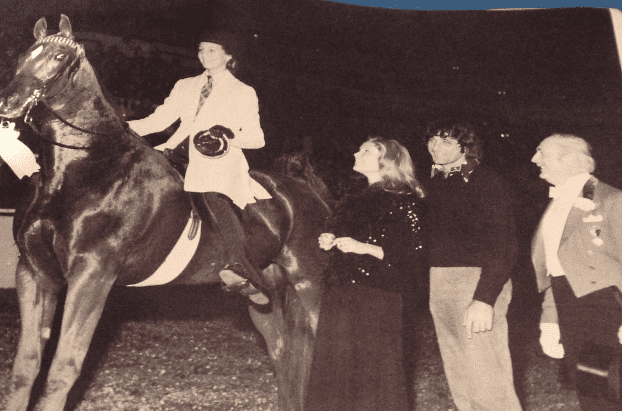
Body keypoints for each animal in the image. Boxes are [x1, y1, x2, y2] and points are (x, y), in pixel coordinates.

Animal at [0, 14, 332, 410]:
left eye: (58, 56)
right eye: (23, 55)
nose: (9, 102)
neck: (83, 170)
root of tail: (304, 189)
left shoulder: (92, 274)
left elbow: (62, 371)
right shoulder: (35, 274)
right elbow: (25, 369)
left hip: (307, 282)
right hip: (260, 290)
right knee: (282, 352)